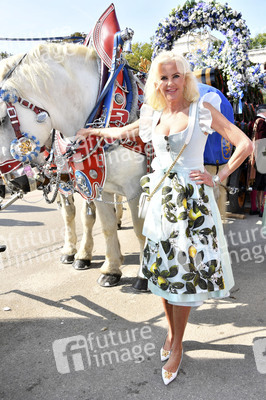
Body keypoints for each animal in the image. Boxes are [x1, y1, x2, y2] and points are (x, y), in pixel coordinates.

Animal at [0, 43, 145, 288]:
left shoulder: (136, 186)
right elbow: (96, 222)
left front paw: (145, 275)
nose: (13, 183)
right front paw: (108, 267)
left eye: (2, 119)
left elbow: (140, 228)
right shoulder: (91, 183)